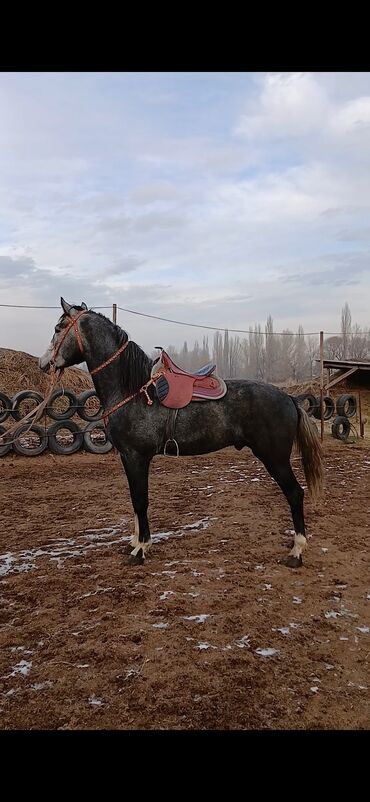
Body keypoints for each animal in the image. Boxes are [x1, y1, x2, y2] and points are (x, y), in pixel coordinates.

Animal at [39, 296, 324, 564]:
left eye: (58, 327)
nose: (44, 363)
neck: (133, 391)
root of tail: (289, 398)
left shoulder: (135, 456)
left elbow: (140, 499)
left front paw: (140, 549)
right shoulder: (129, 458)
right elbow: (134, 499)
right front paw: (135, 541)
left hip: (275, 458)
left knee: (295, 494)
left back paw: (297, 551)